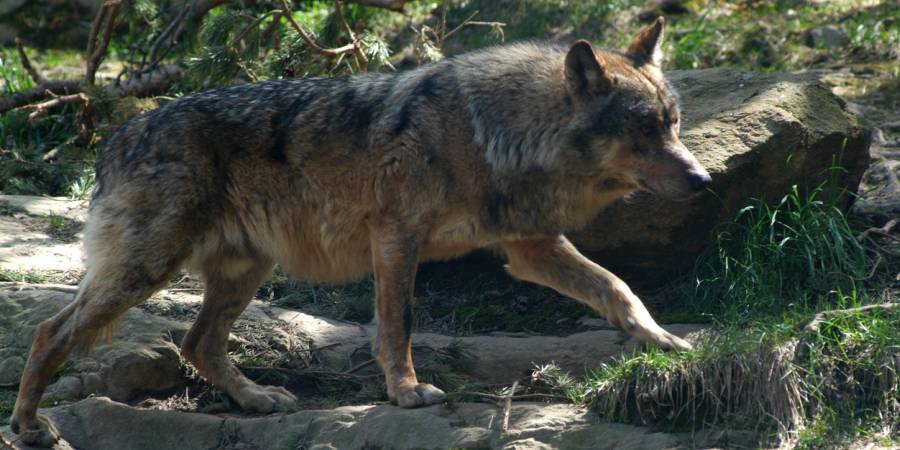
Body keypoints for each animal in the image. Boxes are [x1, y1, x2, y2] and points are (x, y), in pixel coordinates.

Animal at [10, 17, 708, 446]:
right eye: (644, 130)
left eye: (673, 123)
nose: (703, 180)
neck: (493, 134)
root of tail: (116, 136)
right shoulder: (397, 237)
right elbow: (398, 325)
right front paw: (407, 393)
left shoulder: (529, 247)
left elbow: (616, 287)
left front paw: (664, 342)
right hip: (149, 271)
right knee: (52, 332)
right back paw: (29, 427)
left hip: (243, 272)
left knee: (196, 343)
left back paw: (259, 400)